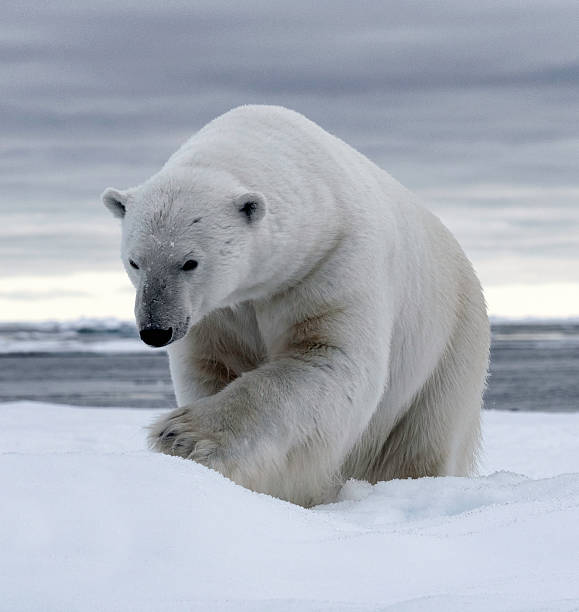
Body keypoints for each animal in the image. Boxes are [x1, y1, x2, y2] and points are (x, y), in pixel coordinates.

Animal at [103, 106, 490, 506]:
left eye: (189, 262)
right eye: (135, 262)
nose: (155, 330)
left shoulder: (330, 262)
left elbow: (327, 356)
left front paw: (182, 436)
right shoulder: (217, 312)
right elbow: (211, 364)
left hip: (448, 345)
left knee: (423, 438)